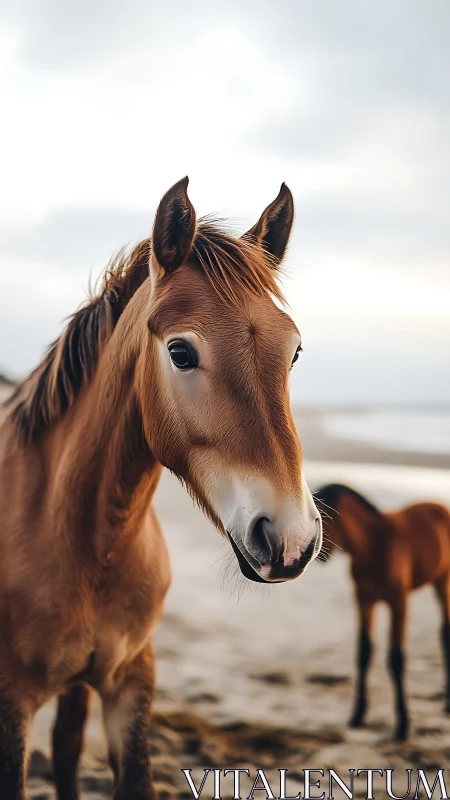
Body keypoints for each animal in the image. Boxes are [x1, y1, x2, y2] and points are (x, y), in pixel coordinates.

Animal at [315, 482, 450, 741]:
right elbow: (364, 652)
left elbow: (396, 658)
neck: (373, 545)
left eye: (325, 516)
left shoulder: (399, 602)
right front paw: (358, 715)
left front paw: (403, 725)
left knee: (445, 633)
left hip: (444, 583)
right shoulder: (364, 600)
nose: (318, 554)